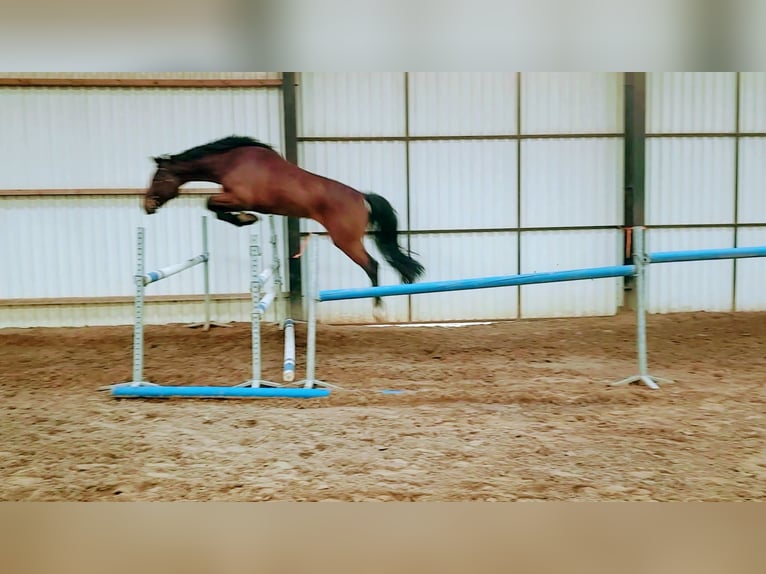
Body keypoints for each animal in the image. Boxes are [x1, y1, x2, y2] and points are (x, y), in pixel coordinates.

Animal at [142, 136, 426, 316]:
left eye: (158, 178)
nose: (146, 205)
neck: (231, 162)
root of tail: (362, 198)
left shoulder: (239, 197)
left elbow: (210, 203)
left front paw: (245, 219)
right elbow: (214, 206)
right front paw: (246, 219)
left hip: (345, 241)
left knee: (372, 265)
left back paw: (378, 310)